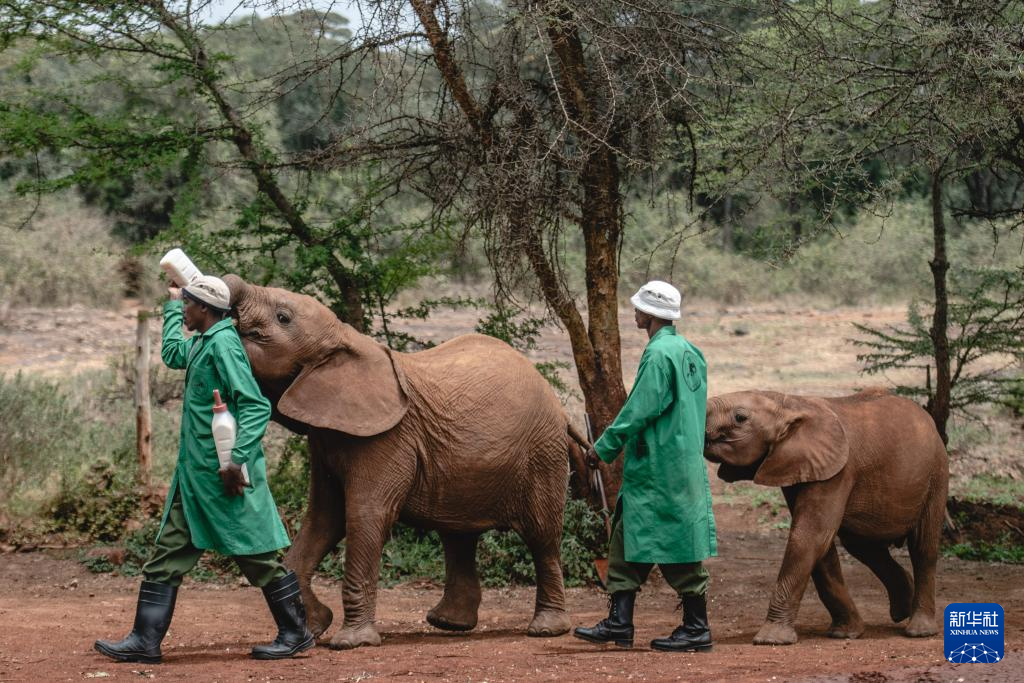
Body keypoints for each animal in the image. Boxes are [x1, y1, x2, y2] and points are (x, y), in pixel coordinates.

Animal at [222, 274, 577, 651]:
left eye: (283, 317)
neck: (346, 337)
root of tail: (558, 405)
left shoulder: (389, 439)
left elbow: (364, 514)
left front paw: (351, 642)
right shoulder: (325, 436)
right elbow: (323, 518)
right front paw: (316, 626)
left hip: (543, 452)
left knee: (542, 535)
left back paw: (546, 629)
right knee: (459, 535)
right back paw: (448, 623)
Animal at [708, 389, 946, 647]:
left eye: (740, 417)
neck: (789, 401)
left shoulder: (839, 471)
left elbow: (809, 536)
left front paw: (770, 640)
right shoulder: (803, 466)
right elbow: (820, 544)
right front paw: (845, 634)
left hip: (937, 474)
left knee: (923, 547)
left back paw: (919, 630)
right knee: (863, 547)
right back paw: (902, 609)